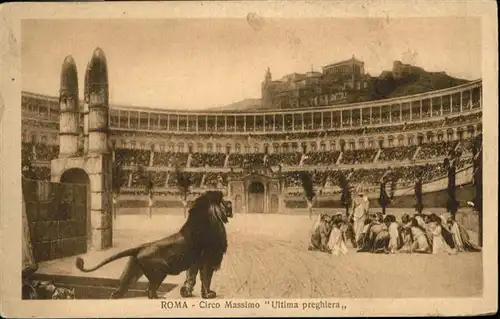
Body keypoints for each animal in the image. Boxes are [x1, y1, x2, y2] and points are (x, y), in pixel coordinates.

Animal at [75, 191, 232, 302]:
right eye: (224, 201)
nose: (231, 202)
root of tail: (140, 247)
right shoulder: (209, 261)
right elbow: (206, 280)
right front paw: (208, 295)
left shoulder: (195, 264)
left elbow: (191, 279)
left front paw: (187, 293)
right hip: (159, 272)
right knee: (150, 291)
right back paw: (159, 298)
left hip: (132, 273)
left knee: (118, 292)